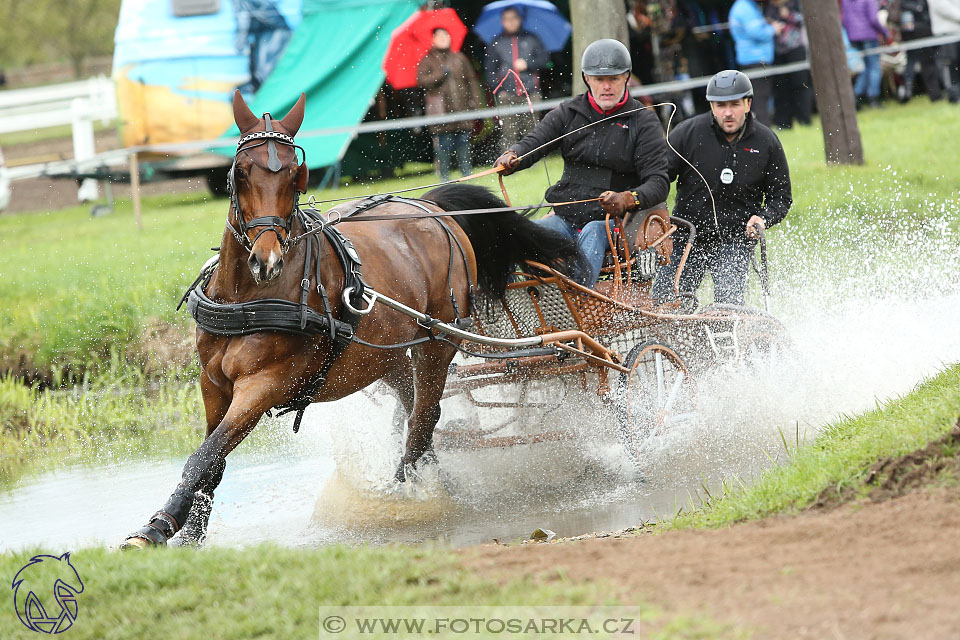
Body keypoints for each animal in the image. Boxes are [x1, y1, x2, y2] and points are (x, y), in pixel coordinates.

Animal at [120, 91, 584, 552]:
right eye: (241, 170)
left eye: (295, 175)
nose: (267, 260)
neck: (249, 298)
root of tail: (431, 206)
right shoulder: (213, 383)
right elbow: (212, 458)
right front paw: (184, 530)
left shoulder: (265, 384)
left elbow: (206, 453)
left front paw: (158, 527)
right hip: (387, 358)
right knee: (418, 416)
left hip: (436, 344)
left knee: (422, 418)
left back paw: (406, 495)